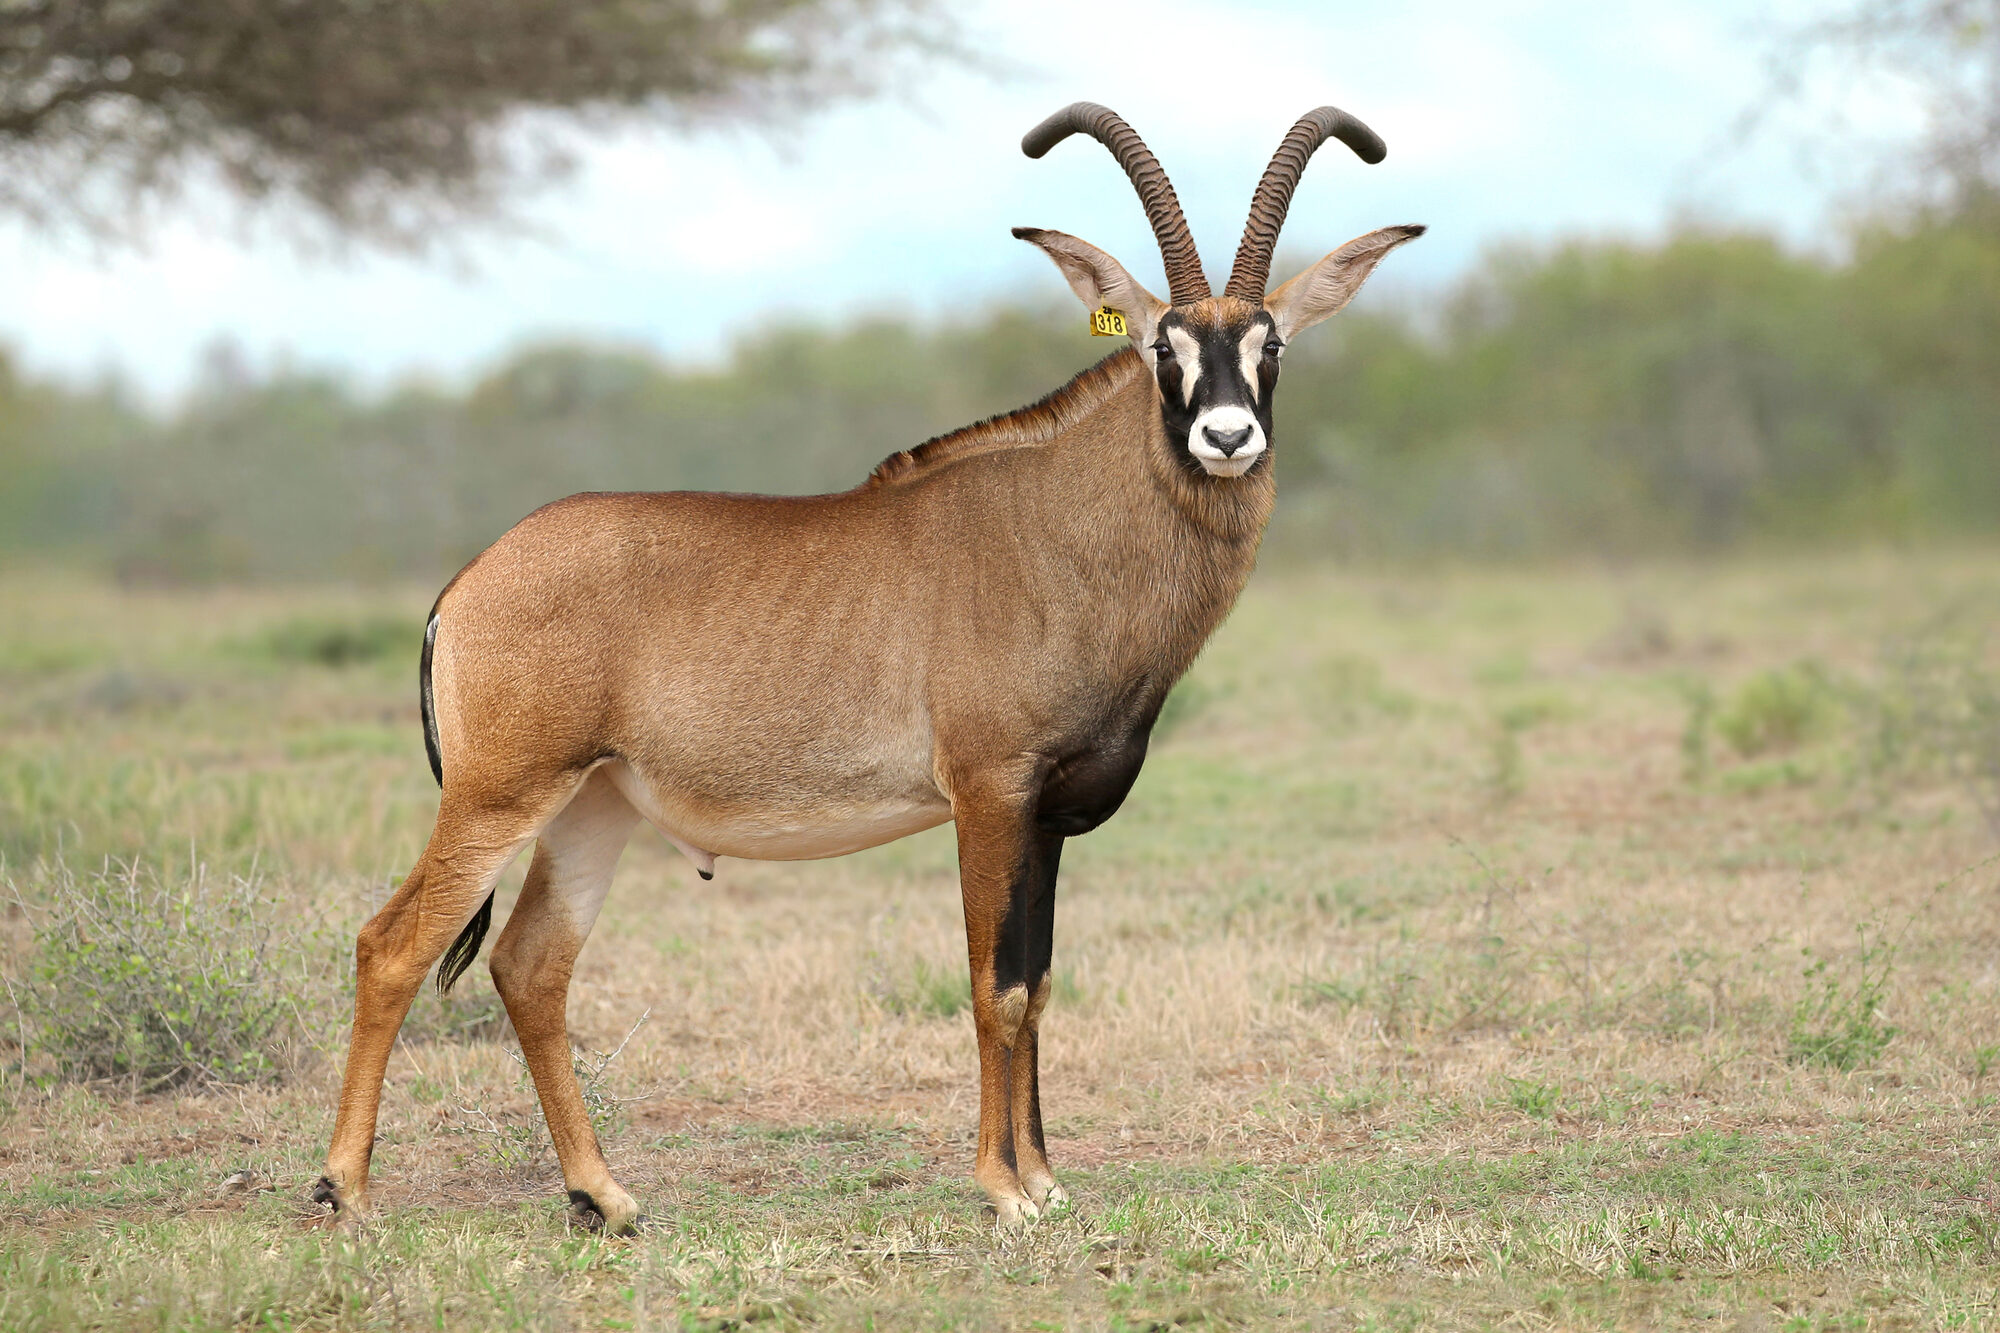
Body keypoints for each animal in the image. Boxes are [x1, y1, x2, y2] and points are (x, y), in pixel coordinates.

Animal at [315, 102, 1423, 1233]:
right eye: (1164, 343)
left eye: (1269, 341)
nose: (1226, 436)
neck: (1061, 527)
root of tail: (469, 581)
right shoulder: (988, 794)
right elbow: (994, 988)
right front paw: (1003, 1190)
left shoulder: (1046, 816)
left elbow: (1038, 982)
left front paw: (1045, 1178)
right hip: (500, 793)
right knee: (392, 944)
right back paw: (343, 1186)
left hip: (591, 806)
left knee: (532, 965)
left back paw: (603, 1194)